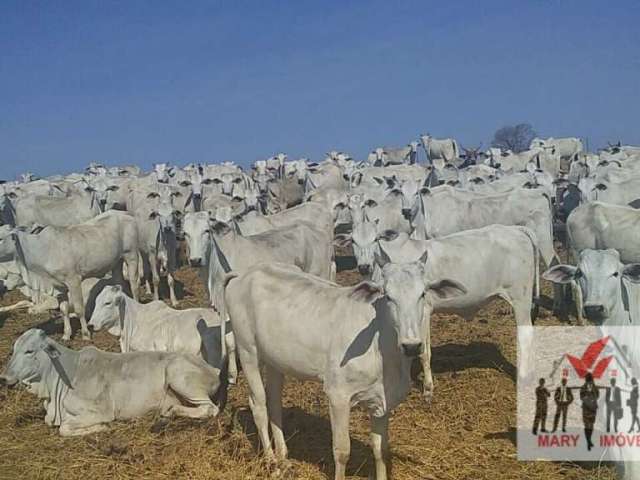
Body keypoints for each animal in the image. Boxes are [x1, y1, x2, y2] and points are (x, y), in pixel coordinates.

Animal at [0, 330, 225, 436]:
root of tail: (213, 368)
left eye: (29, 351)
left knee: (210, 409)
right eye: (14, 349)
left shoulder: (100, 410)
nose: (4, 378)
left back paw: (171, 412)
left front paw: (102, 428)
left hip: (178, 377)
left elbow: (65, 427)